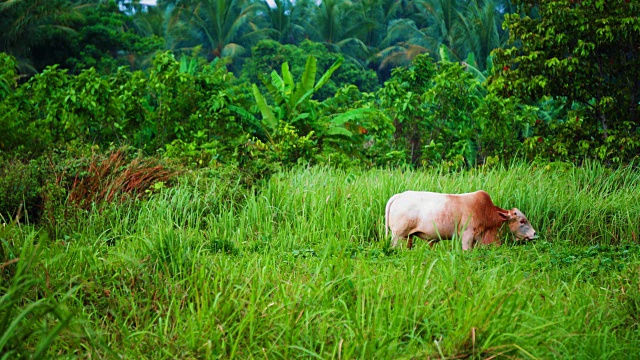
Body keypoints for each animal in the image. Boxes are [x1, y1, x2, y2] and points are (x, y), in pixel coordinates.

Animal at [384, 191, 536, 250]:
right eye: (522, 221)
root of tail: (400, 195)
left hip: (408, 237)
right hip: (398, 236)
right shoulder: (467, 236)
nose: (534, 233)